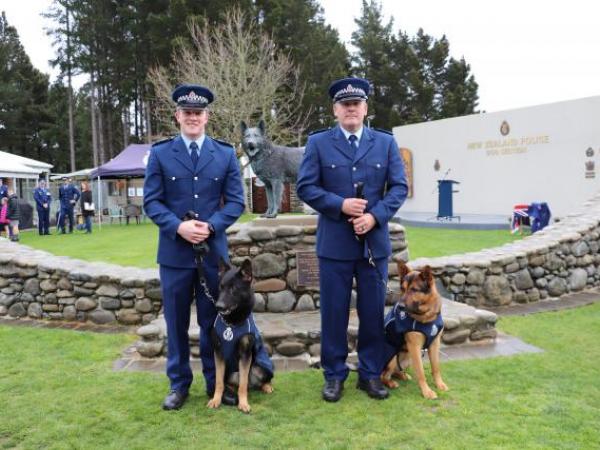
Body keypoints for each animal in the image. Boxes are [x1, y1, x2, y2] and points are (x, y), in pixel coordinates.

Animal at [205, 258, 274, 414]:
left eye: (233, 289)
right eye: (221, 287)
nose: (218, 306)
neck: (232, 323)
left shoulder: (245, 354)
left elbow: (243, 383)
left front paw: (243, 403)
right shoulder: (218, 353)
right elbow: (218, 381)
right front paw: (216, 399)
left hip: (262, 366)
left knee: (256, 381)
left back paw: (266, 386)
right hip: (230, 372)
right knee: (230, 382)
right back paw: (230, 391)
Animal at [382, 262, 448, 400]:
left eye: (414, 289)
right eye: (402, 288)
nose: (400, 307)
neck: (426, 316)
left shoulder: (435, 344)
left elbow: (436, 367)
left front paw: (439, 384)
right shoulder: (415, 347)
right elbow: (421, 372)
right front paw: (427, 392)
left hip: (407, 358)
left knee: (396, 371)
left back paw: (403, 375)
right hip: (393, 358)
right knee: (383, 376)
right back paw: (390, 383)